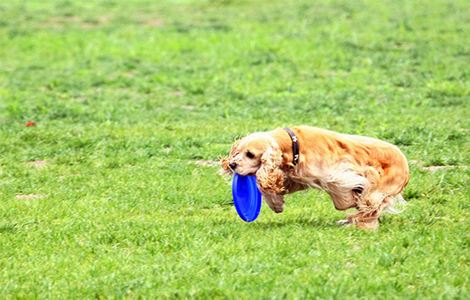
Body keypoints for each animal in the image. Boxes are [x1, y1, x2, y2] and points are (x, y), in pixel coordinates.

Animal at [220, 125, 408, 229]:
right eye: (237, 152)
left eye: (250, 154)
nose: (232, 165)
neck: (293, 144)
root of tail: (406, 167)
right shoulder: (298, 176)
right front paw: (276, 204)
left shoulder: (334, 174)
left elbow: (342, 199)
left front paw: (351, 199)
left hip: (377, 190)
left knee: (371, 209)